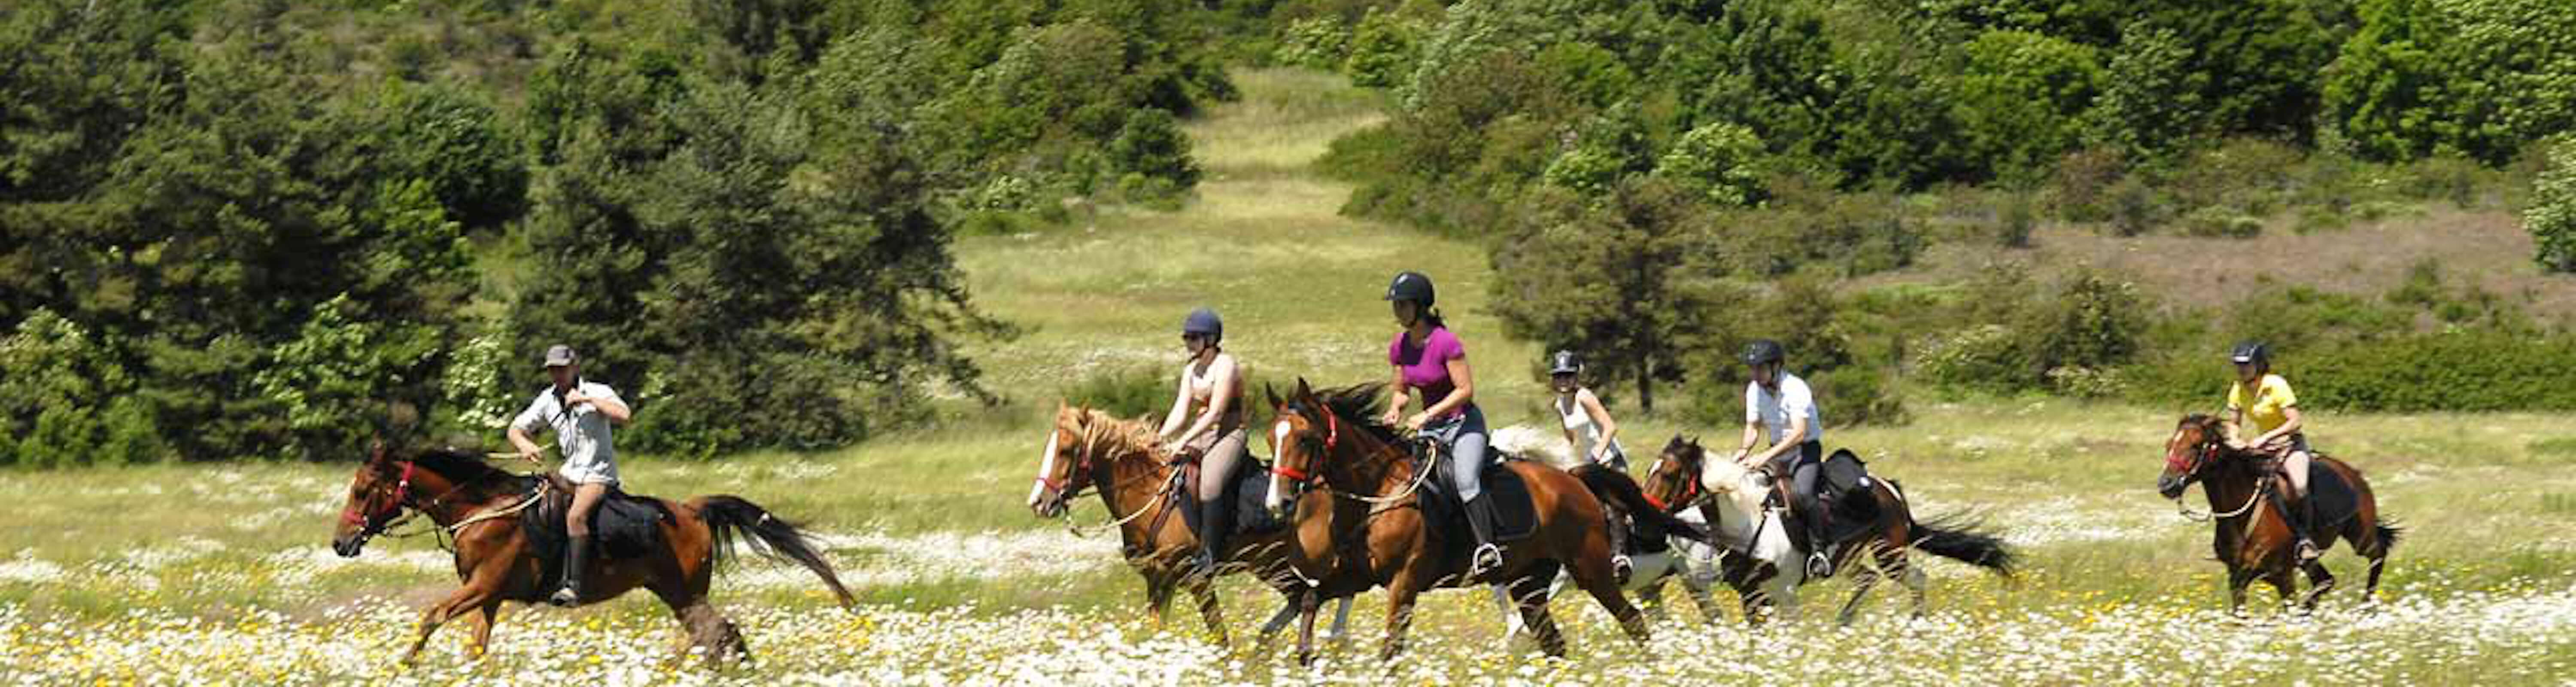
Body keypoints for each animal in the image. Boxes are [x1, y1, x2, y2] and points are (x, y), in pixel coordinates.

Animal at [327, 442, 855, 669]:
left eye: (362, 490)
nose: (340, 543)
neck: (482, 509)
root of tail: (692, 509)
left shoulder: (482, 587)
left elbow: (431, 616)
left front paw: (406, 664)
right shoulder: (488, 596)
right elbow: (477, 645)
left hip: (684, 592)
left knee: (717, 632)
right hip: (677, 594)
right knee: (713, 634)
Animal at [1020, 404, 1370, 646]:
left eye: (1066, 451)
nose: (1039, 503)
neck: (1150, 497)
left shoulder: (1197, 579)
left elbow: (1220, 635)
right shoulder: (1158, 581)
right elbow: (1158, 630)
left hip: (1308, 561)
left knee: (1337, 591)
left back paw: (1335, 641)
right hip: (1274, 566)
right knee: (1305, 598)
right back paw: (1271, 642)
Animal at [1257, 380, 1700, 664]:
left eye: (1306, 440)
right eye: (1271, 440)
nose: (1278, 503)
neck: (1378, 492)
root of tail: (1572, 480)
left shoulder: (1404, 582)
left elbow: (1390, 650)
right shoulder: (1356, 576)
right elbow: (1311, 599)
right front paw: (1306, 657)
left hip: (1590, 568)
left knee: (1633, 620)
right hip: (1529, 582)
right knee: (1553, 642)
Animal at [1638, 440, 2020, 628]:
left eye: (1669, 473)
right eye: (1650, 470)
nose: (1644, 511)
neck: (1746, 522)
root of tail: (1888, 488)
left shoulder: (1785, 592)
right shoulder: (1750, 593)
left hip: (1890, 553)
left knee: (1916, 578)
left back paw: (1916, 625)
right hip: (1848, 558)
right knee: (1867, 579)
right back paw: (1844, 621)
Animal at [2154, 411, 2391, 617]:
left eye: (2195, 446)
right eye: (2169, 445)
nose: (2167, 485)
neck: (2242, 519)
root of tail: (2354, 474)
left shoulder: (2283, 576)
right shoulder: (2238, 578)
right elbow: (2239, 618)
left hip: (2360, 536)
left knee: (2377, 556)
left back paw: (2366, 605)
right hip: (2310, 561)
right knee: (2326, 581)